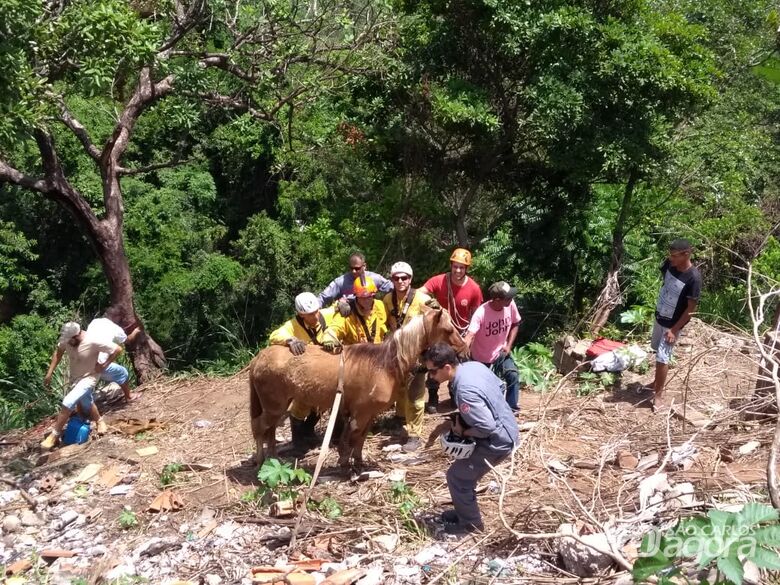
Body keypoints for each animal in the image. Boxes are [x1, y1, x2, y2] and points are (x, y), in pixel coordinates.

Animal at [248, 306, 464, 466]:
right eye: (448, 330)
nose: (462, 348)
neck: (385, 363)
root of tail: (258, 359)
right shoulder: (361, 412)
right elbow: (353, 436)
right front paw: (345, 463)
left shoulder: (369, 412)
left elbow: (361, 438)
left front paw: (358, 462)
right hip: (274, 407)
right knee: (259, 427)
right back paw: (260, 460)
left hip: (278, 407)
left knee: (270, 430)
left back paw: (273, 460)